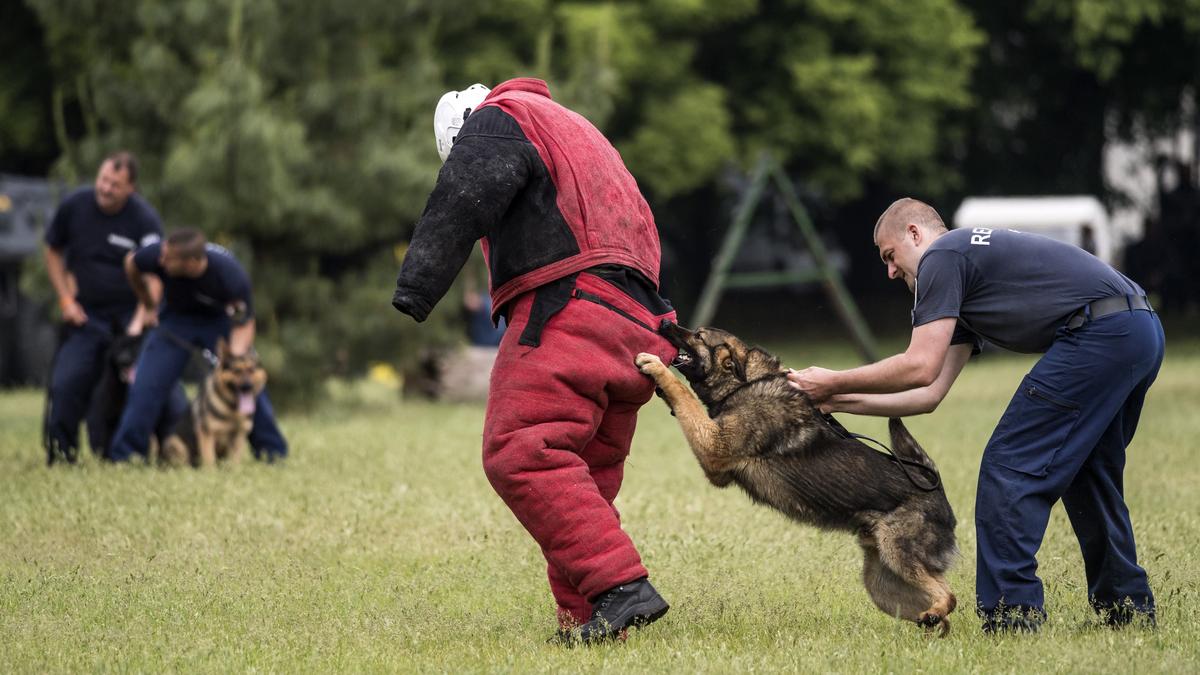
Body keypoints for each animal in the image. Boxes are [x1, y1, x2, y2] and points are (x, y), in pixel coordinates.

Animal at [160, 338, 266, 466]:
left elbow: (235, 462)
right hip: (175, 444)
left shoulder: (239, 437)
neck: (233, 410)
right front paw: (210, 471)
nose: (247, 387)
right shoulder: (207, 434)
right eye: (236, 370)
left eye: (251, 370)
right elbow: (209, 459)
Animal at [638, 324, 955, 634]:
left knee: (949, 595)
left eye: (699, 335)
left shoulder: (713, 448)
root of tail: (936, 487)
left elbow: (684, 394)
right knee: (941, 609)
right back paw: (933, 625)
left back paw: (936, 614)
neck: (745, 383)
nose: (665, 323)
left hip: (899, 556)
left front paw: (656, 367)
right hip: (882, 584)